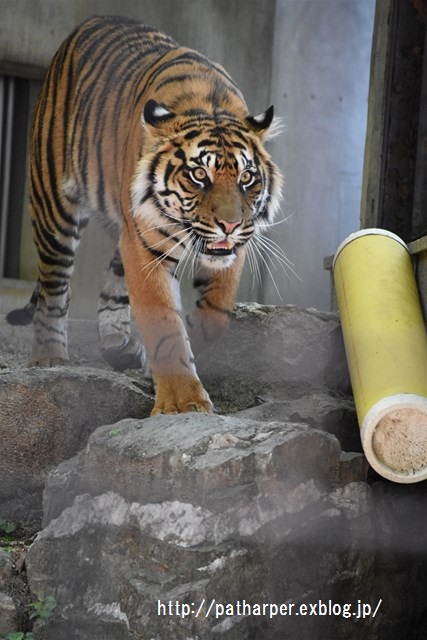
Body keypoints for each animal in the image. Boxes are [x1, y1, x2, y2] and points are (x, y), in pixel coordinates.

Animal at [6, 15, 282, 418]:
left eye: (247, 178)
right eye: (199, 175)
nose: (229, 225)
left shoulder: (235, 246)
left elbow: (217, 310)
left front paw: (194, 336)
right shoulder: (146, 240)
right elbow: (163, 322)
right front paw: (182, 403)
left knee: (112, 290)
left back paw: (118, 348)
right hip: (54, 207)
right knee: (55, 290)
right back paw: (50, 357)